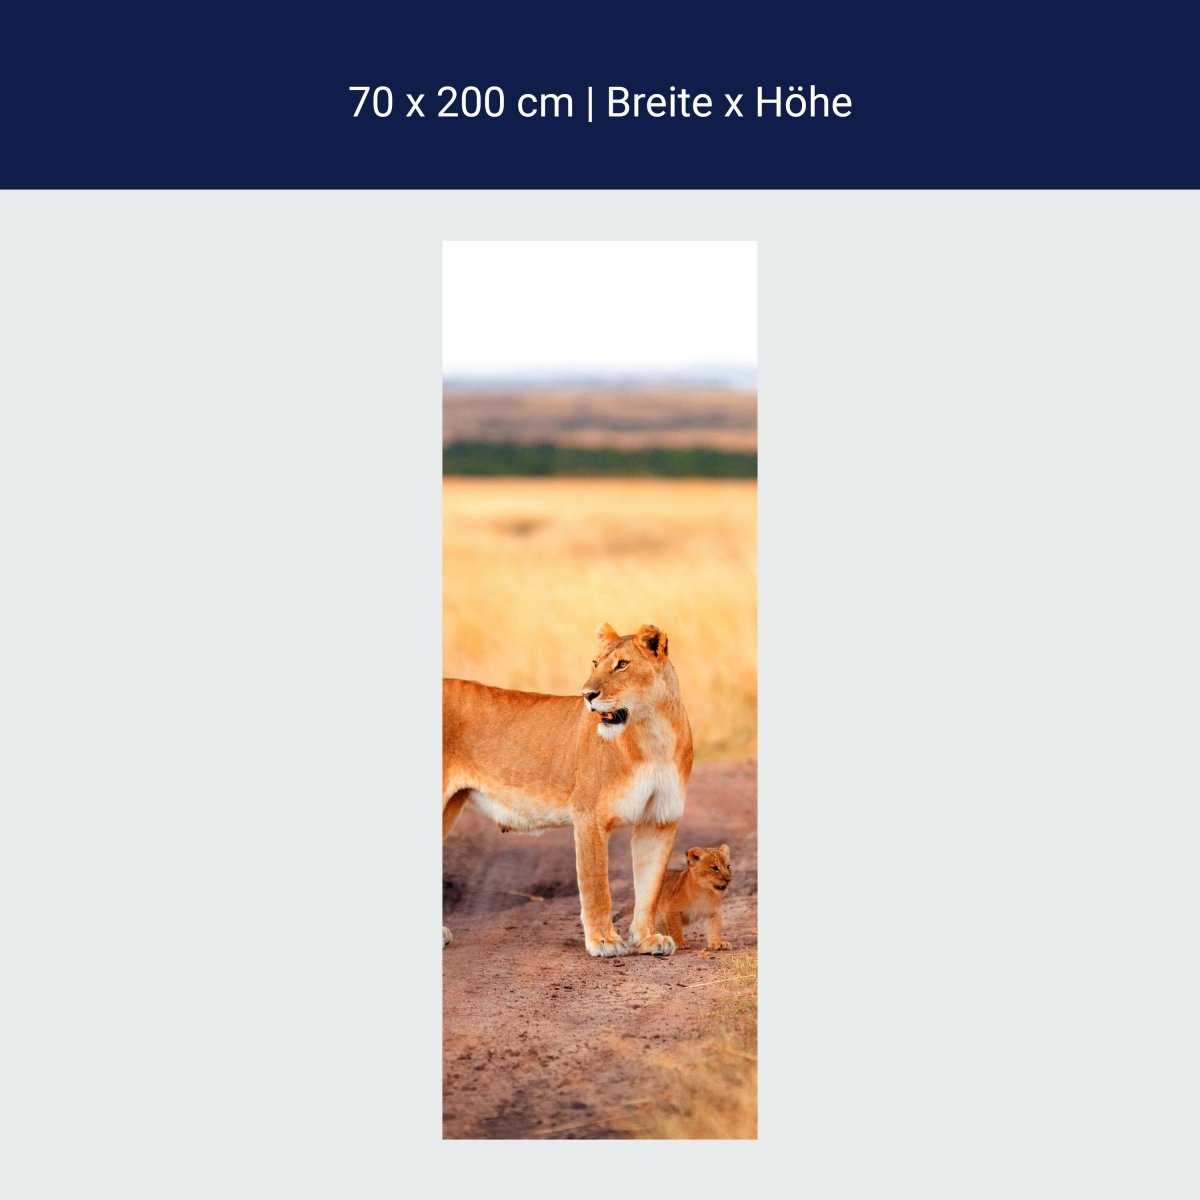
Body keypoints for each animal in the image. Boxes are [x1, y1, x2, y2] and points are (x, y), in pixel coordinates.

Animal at [442, 623, 692, 957]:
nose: (587, 695)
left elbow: (649, 886)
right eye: (595, 663)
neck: (653, 733)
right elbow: (596, 885)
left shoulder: (659, 820)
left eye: (622, 664)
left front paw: (648, 939)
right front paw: (604, 941)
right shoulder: (589, 816)